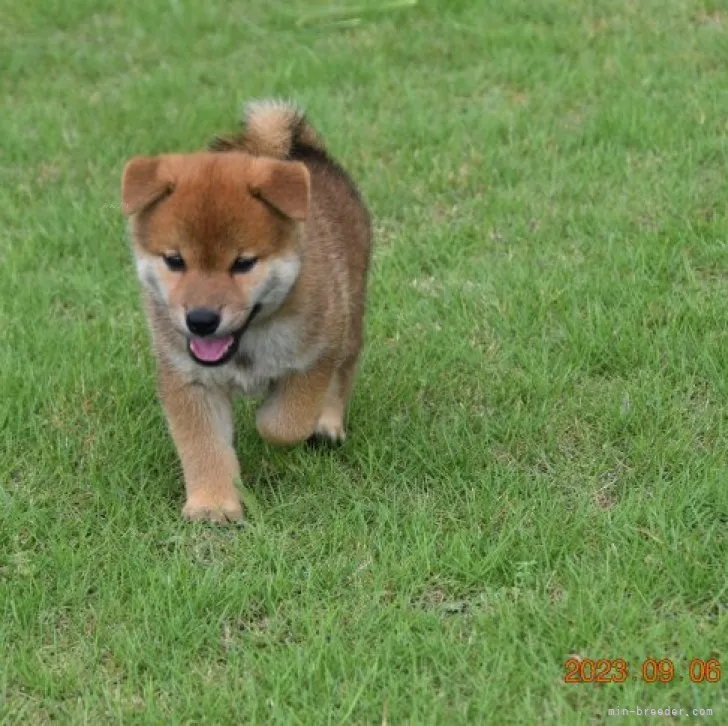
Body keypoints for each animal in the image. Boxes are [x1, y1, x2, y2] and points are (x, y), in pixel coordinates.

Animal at [122, 101, 372, 524]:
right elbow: (203, 446)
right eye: (175, 260)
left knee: (344, 372)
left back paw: (327, 424)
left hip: (350, 313)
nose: (201, 320)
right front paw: (212, 505)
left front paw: (270, 420)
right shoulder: (188, 378)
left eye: (243, 263)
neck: (247, 344)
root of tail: (306, 151)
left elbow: (284, 422)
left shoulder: (316, 355)